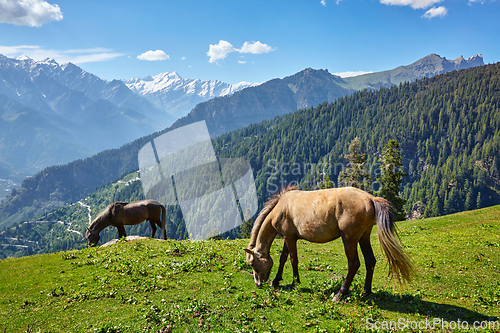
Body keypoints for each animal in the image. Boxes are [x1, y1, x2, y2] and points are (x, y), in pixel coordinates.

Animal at [245, 187, 414, 300]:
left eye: (252, 264)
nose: (258, 284)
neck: (281, 207)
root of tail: (370, 198)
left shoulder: (289, 237)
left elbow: (293, 259)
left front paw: (294, 283)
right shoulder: (289, 237)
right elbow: (283, 258)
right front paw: (276, 280)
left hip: (349, 239)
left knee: (354, 264)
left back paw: (340, 294)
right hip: (364, 237)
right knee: (370, 261)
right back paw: (366, 291)